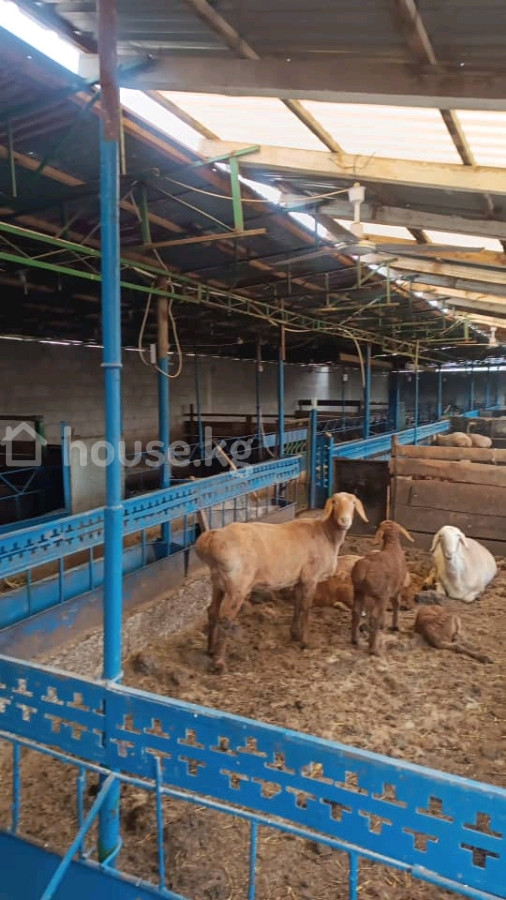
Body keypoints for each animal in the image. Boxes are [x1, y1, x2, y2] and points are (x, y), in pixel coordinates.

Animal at [195, 492, 368, 670]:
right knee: (225, 619)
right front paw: (306, 642)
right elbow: (306, 607)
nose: (344, 521)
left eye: (353, 503)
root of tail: (212, 538)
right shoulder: (310, 577)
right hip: (237, 586)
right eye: (334, 502)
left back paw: (210, 649)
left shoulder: (299, 579)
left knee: (212, 611)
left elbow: (297, 605)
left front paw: (295, 634)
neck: (326, 534)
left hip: (218, 582)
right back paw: (219, 662)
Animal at [351, 520, 414, 655]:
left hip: (358, 590)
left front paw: (383, 625)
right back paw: (373, 649)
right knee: (374, 616)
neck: (392, 546)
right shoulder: (397, 589)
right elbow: (396, 604)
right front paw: (395, 626)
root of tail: (365, 569)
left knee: (356, 611)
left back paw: (355, 640)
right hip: (381, 594)